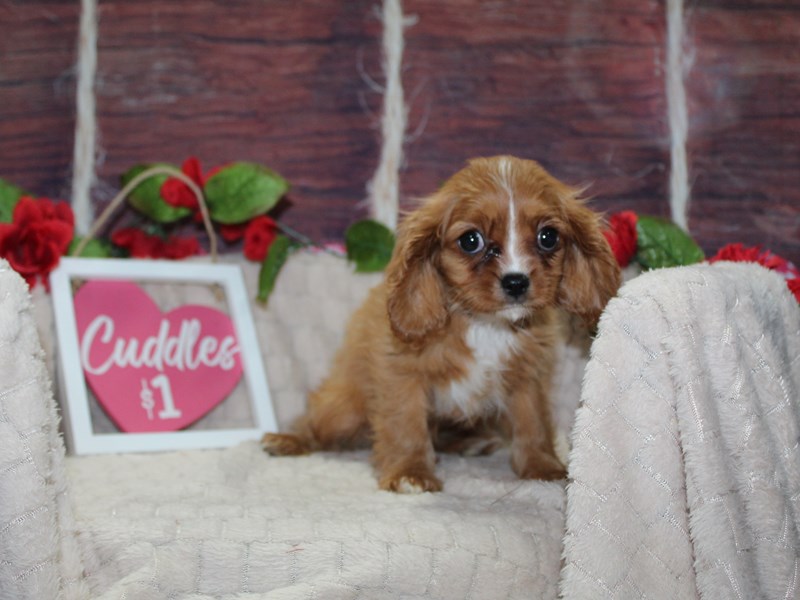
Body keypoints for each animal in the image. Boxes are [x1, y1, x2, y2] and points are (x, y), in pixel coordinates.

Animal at [262, 156, 621, 493]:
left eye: (548, 237)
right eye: (471, 241)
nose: (516, 281)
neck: (484, 324)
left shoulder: (528, 376)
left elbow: (532, 421)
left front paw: (541, 466)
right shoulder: (401, 374)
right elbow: (406, 424)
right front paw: (410, 473)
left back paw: (470, 442)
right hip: (343, 409)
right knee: (315, 423)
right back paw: (287, 440)